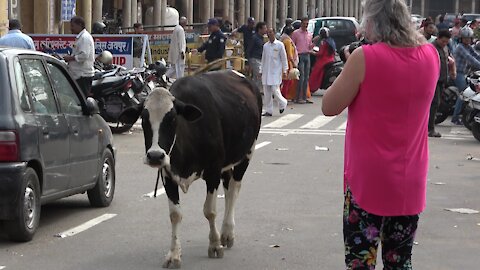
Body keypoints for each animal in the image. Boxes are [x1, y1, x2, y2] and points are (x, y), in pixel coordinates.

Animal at [141, 69, 264, 268]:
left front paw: (214, 245)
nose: (155, 155)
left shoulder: (213, 171)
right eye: (144, 118)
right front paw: (174, 254)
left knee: (234, 190)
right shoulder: (167, 175)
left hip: (247, 153)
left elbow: (209, 211)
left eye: (172, 118)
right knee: (228, 187)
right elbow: (175, 215)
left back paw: (227, 233)